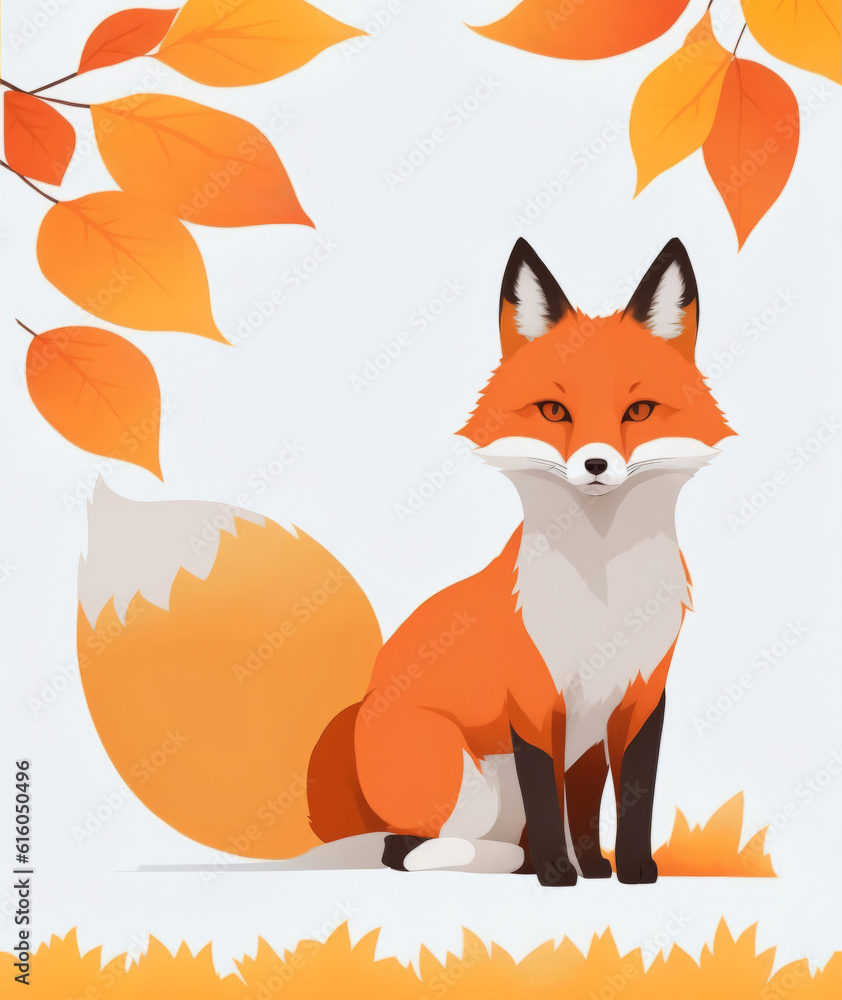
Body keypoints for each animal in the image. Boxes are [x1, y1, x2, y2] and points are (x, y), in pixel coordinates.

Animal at [76, 237, 734, 886]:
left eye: (639, 411)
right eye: (554, 411)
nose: (596, 465)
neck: (603, 592)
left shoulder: (632, 698)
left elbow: (615, 798)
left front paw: (616, 869)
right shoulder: (534, 701)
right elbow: (553, 800)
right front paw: (557, 871)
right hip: (470, 786)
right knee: (404, 849)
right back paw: (509, 861)